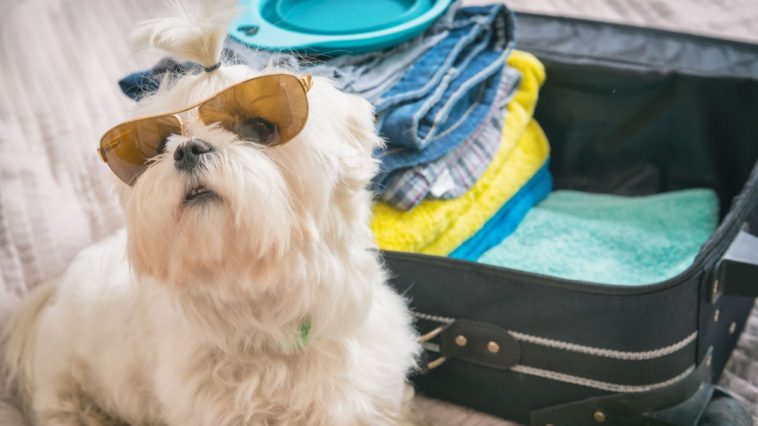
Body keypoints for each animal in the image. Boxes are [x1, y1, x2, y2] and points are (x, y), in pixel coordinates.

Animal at [1, 1, 422, 424]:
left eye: (257, 125)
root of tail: (51, 297)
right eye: (161, 144)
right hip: (67, 389)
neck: (264, 320)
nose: (186, 149)